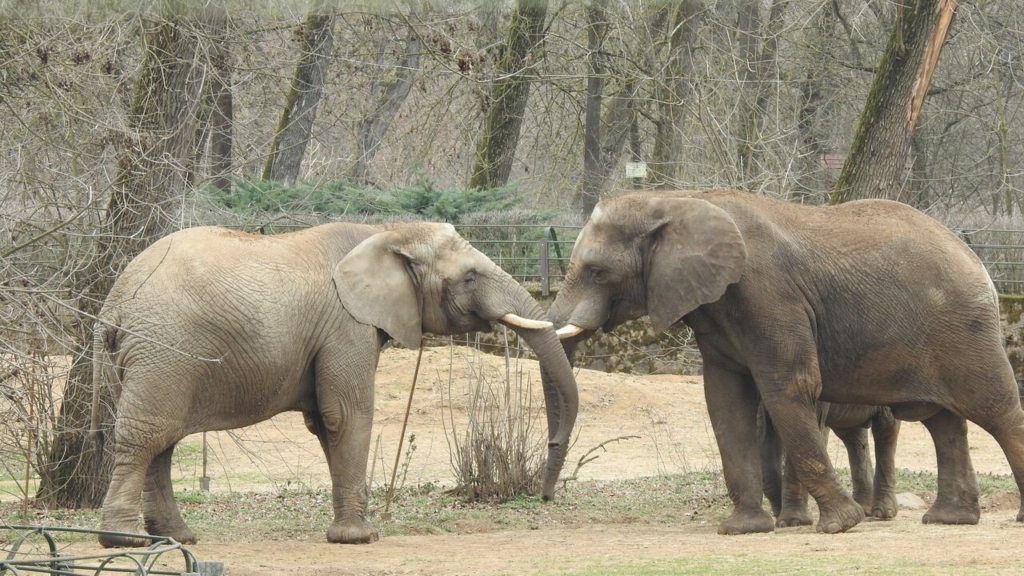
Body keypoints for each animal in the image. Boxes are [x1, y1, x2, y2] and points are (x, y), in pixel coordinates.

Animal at [91, 220, 581, 545]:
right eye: (470, 277)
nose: (544, 496)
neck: (386, 232)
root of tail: (114, 303)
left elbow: (325, 423)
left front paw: (351, 532)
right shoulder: (348, 324)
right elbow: (344, 414)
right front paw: (360, 538)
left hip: (143, 360)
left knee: (162, 440)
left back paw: (176, 539)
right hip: (161, 349)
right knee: (147, 436)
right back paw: (124, 542)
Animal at [761, 399, 897, 524]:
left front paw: (793, 521)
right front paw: (780, 512)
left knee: (886, 427)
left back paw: (883, 513)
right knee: (852, 435)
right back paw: (863, 509)